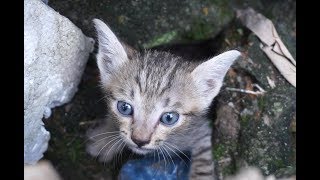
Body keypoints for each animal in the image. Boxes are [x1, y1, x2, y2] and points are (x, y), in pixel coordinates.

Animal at [86, 19, 241, 179]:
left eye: (169, 118)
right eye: (124, 108)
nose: (139, 140)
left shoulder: (201, 130)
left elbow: (202, 164)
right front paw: (105, 137)